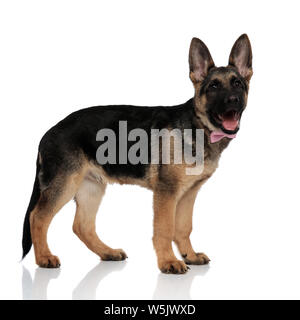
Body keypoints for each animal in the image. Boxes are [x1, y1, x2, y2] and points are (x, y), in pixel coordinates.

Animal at [21, 33, 252, 274]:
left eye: (237, 83)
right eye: (214, 86)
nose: (233, 100)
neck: (196, 125)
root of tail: (48, 132)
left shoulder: (189, 193)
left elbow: (184, 227)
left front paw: (190, 255)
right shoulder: (166, 193)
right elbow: (165, 229)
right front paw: (168, 261)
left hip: (91, 187)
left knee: (81, 226)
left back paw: (107, 252)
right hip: (65, 185)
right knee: (37, 217)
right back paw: (44, 257)